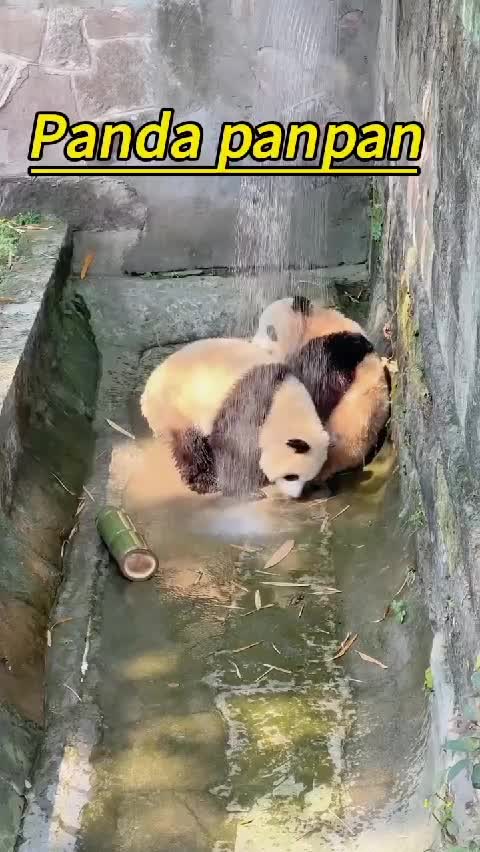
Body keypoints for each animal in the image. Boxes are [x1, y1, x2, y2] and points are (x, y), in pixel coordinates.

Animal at [140, 337, 330, 499]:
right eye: (291, 476)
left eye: (305, 479)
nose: (294, 496)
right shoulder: (249, 403)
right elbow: (232, 446)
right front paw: (247, 490)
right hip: (177, 406)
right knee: (190, 446)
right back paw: (206, 483)